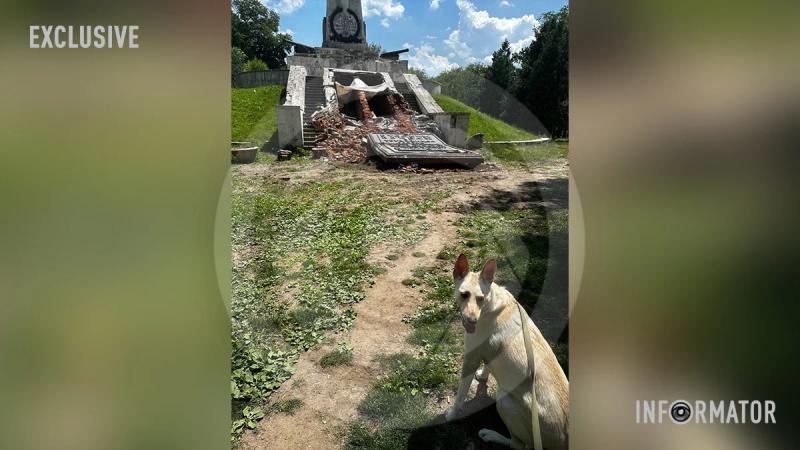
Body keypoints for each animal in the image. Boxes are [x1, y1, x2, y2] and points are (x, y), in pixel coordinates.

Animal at [444, 255, 568, 448]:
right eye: (464, 295)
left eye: (481, 298)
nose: (472, 321)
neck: (490, 305)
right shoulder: (487, 353)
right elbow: (488, 366)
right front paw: (483, 375)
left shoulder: (470, 359)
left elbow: (460, 396)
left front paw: (452, 415)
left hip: (504, 400)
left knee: (518, 445)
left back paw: (491, 435)